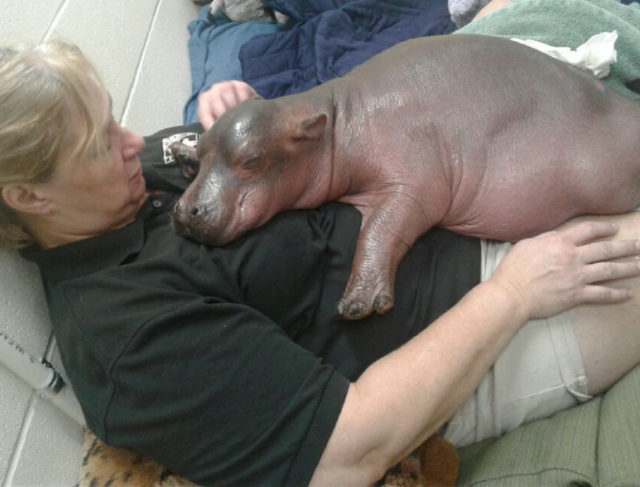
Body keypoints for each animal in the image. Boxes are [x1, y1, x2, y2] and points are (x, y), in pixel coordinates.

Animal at [172, 35, 640, 324]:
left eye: (252, 159)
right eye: (200, 153)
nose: (184, 210)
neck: (338, 120)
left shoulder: (414, 182)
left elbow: (380, 231)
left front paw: (358, 305)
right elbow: (378, 227)